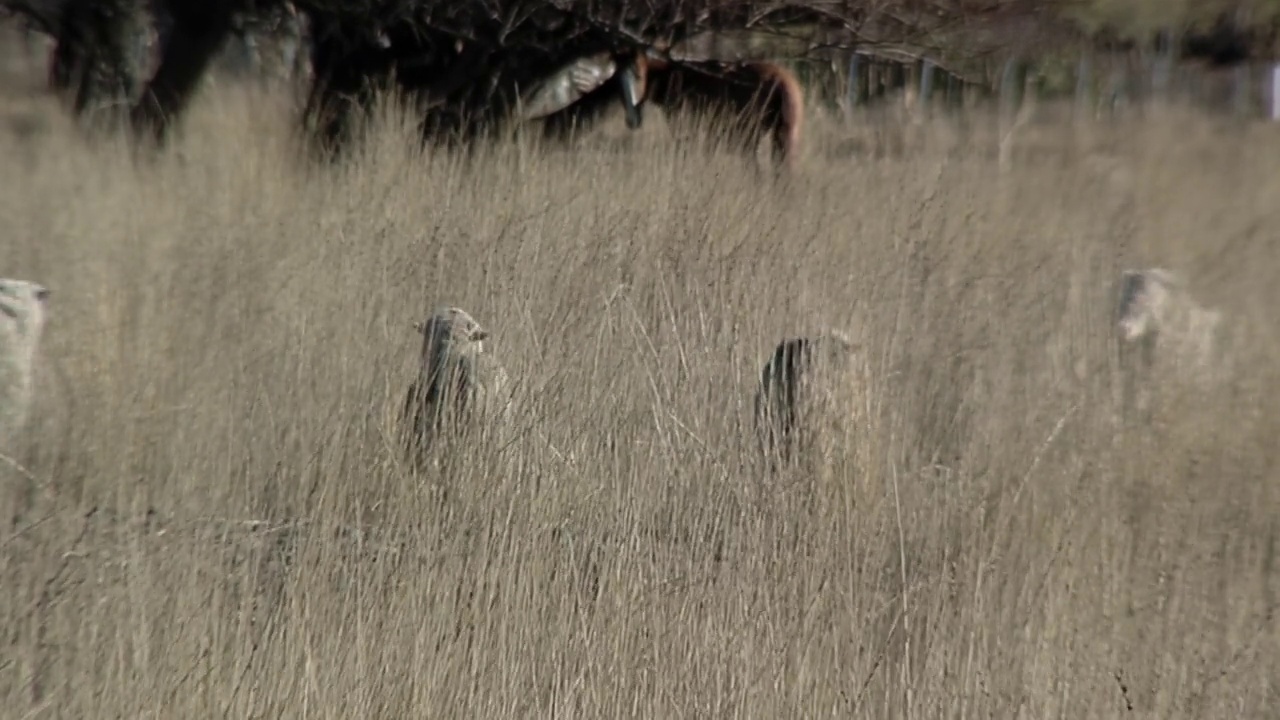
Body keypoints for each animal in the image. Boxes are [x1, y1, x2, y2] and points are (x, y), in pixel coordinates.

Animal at [624, 50, 803, 172]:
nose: (631, 120)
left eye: (640, 77)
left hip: (750, 128)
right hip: (785, 130)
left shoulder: (690, 122)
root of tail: (784, 81)